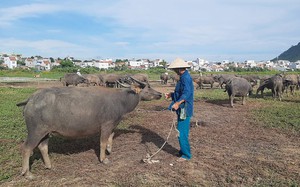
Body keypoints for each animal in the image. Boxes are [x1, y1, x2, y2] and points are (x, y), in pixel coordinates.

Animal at [16, 81, 162, 179]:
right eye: (148, 87)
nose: (160, 94)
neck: (121, 101)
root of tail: (31, 99)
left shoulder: (112, 125)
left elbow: (110, 138)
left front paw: (109, 149)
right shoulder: (106, 125)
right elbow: (102, 142)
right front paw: (104, 159)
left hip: (46, 132)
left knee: (43, 147)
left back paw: (49, 166)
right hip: (36, 131)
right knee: (26, 148)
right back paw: (27, 173)